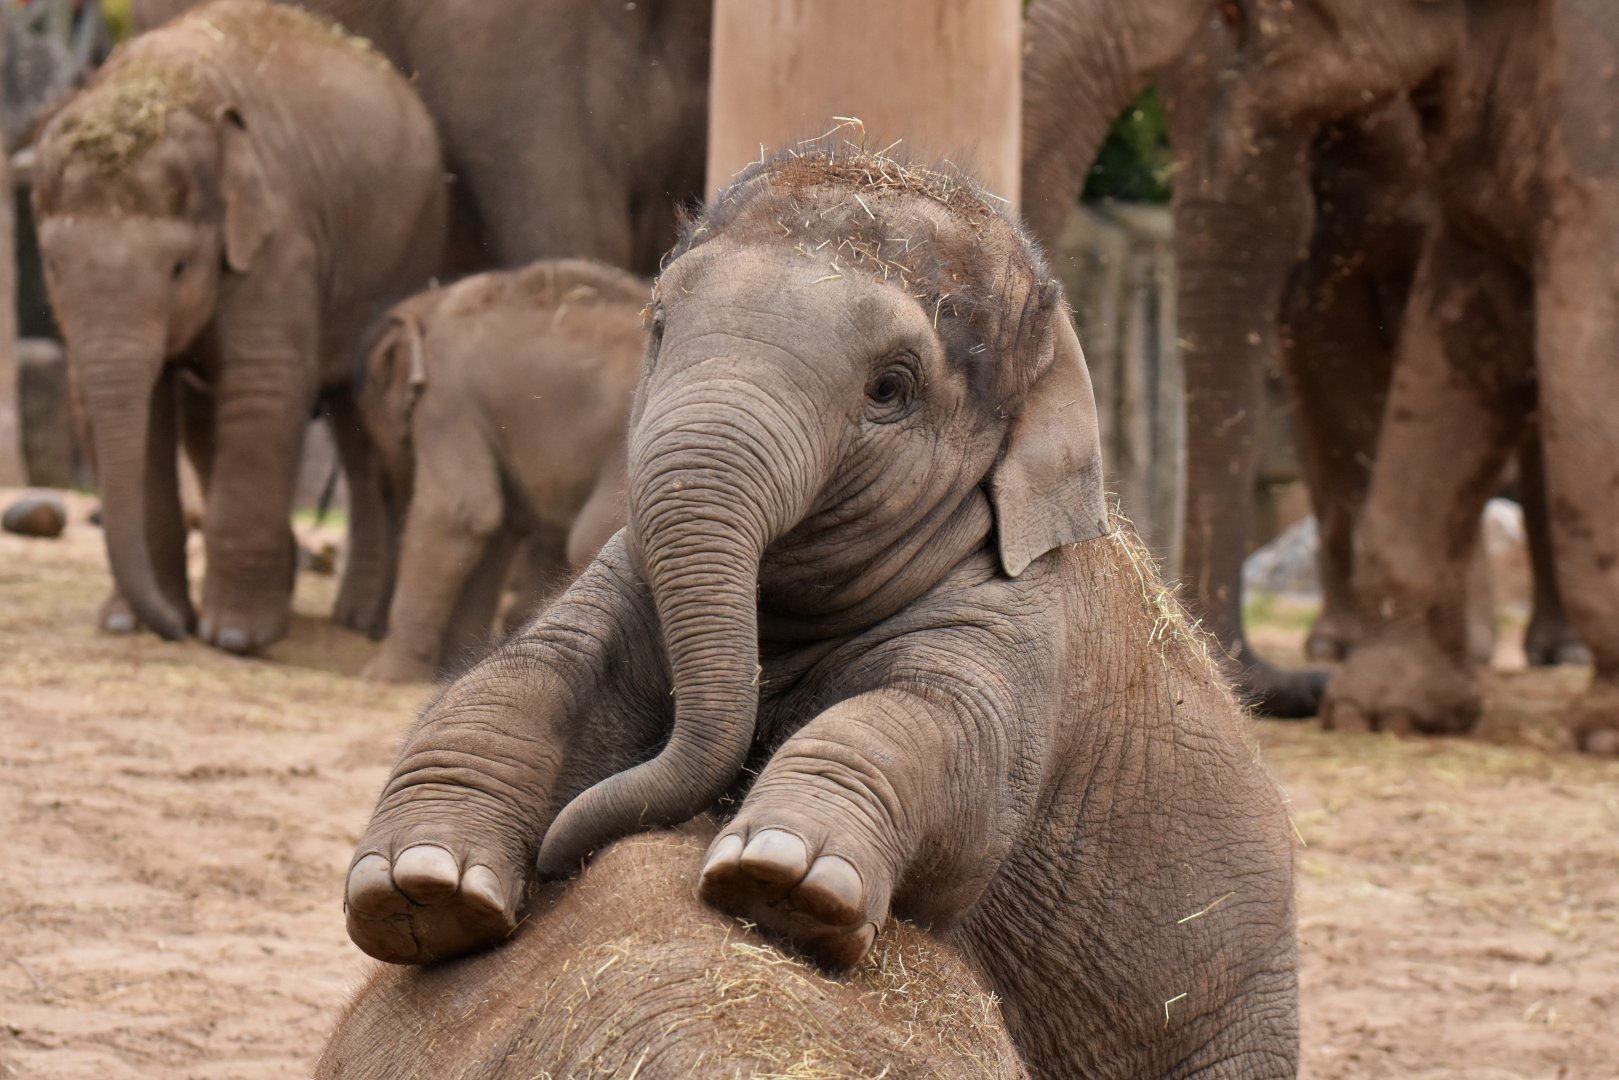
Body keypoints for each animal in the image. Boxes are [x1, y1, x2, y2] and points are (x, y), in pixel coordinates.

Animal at [32, 0, 446, 653]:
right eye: (51, 265)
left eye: (179, 268)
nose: (176, 631)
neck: (164, 87)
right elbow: (126, 410)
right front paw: (131, 623)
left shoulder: (281, 243)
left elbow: (263, 388)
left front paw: (232, 637)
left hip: (407, 251)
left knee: (357, 429)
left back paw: (359, 622)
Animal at [356, 259, 643, 684]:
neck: (433, 302)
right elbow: (498, 524)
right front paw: (459, 668)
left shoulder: (447, 399)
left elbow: (459, 512)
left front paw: (382, 677)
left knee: (589, 539)